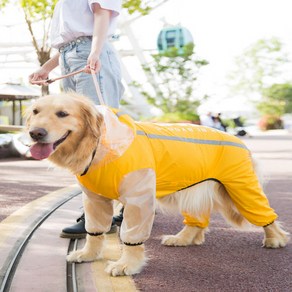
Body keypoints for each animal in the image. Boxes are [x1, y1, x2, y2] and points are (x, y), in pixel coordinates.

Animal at [25, 93, 290, 276]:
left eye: (62, 113)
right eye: (36, 111)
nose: (35, 133)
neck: (99, 145)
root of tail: (237, 138)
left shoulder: (138, 199)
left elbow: (131, 238)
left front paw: (126, 265)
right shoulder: (94, 199)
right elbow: (95, 232)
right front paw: (87, 254)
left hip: (240, 189)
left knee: (267, 216)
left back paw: (275, 239)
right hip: (194, 191)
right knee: (197, 221)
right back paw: (182, 238)